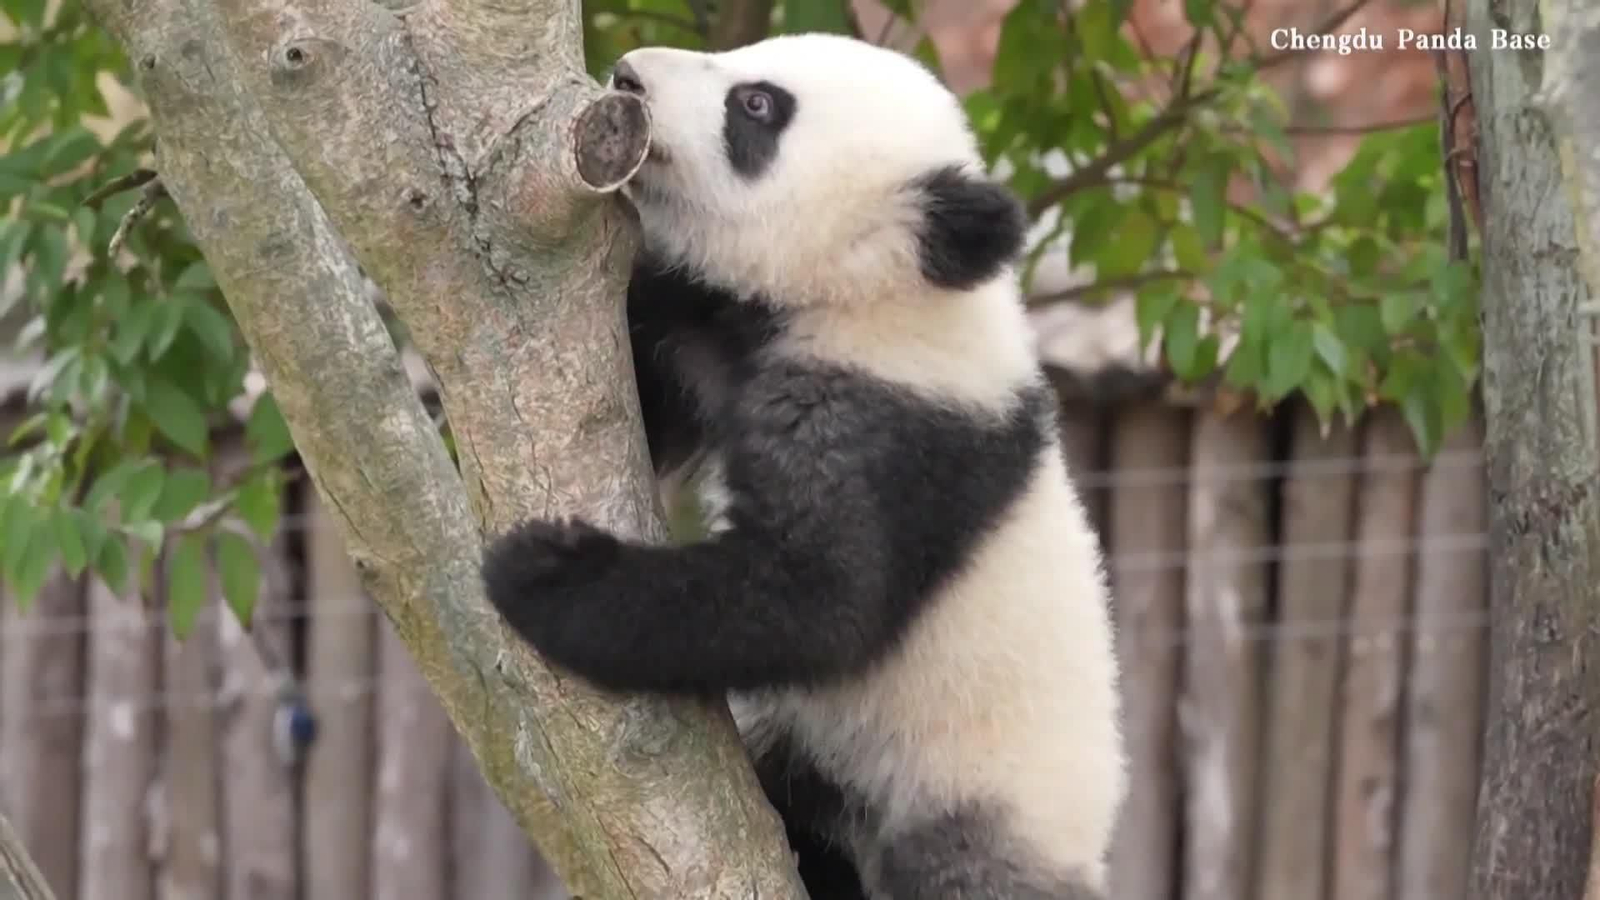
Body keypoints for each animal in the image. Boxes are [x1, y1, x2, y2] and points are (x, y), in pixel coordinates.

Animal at [480, 32, 1125, 900]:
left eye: (756, 106)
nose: (628, 75)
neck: (878, 295)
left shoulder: (898, 431)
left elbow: (813, 598)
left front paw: (544, 573)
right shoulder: (714, 323)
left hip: (969, 804)